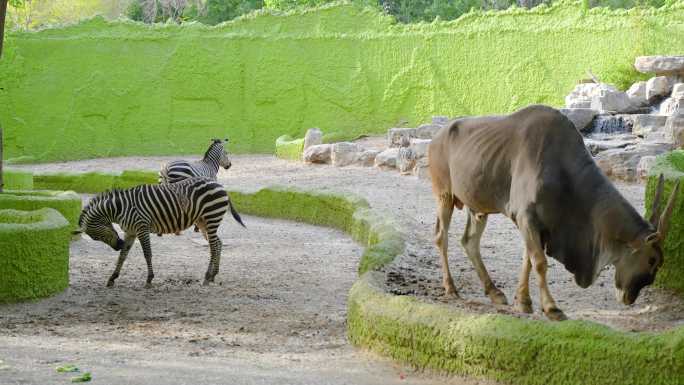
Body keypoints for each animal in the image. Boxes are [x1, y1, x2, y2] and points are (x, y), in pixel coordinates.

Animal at [74, 176, 246, 284]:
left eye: (97, 236)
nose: (118, 245)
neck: (120, 208)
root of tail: (219, 184)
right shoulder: (130, 231)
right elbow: (123, 256)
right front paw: (113, 277)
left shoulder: (142, 227)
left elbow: (147, 254)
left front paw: (149, 278)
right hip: (203, 221)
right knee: (218, 243)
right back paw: (212, 275)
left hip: (211, 218)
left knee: (214, 246)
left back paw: (208, 276)